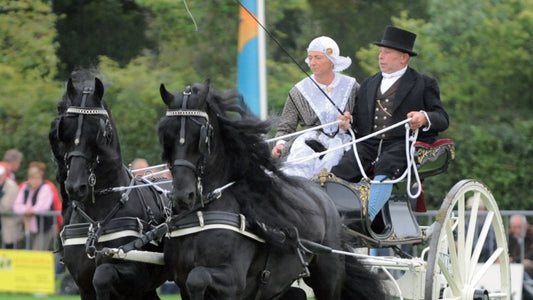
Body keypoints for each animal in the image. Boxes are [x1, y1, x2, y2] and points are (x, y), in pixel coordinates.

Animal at [49, 73, 170, 300]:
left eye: (98, 130)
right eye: (64, 129)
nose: (75, 186)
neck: (95, 219)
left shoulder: (138, 273)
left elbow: (102, 276)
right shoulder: (83, 285)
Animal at [156, 80, 384, 300]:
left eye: (202, 135)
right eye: (166, 134)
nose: (183, 195)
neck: (203, 215)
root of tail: (321, 193)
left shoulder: (233, 281)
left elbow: (198, 278)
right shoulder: (181, 280)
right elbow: (192, 281)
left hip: (328, 275)